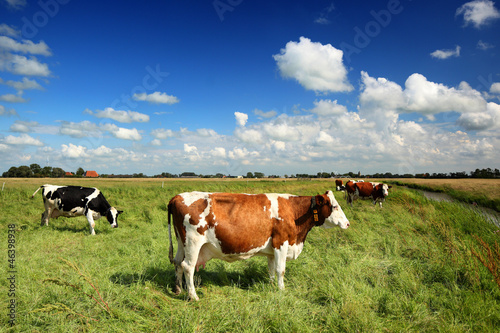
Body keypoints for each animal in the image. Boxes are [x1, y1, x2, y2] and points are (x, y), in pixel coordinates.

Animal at [167, 189, 348, 300]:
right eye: (335, 206)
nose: (347, 223)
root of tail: (177, 197)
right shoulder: (281, 242)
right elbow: (280, 270)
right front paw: (282, 290)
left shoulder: (272, 249)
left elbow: (271, 269)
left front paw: (271, 285)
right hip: (193, 242)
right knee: (188, 266)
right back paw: (193, 296)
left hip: (181, 242)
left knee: (177, 263)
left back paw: (178, 289)